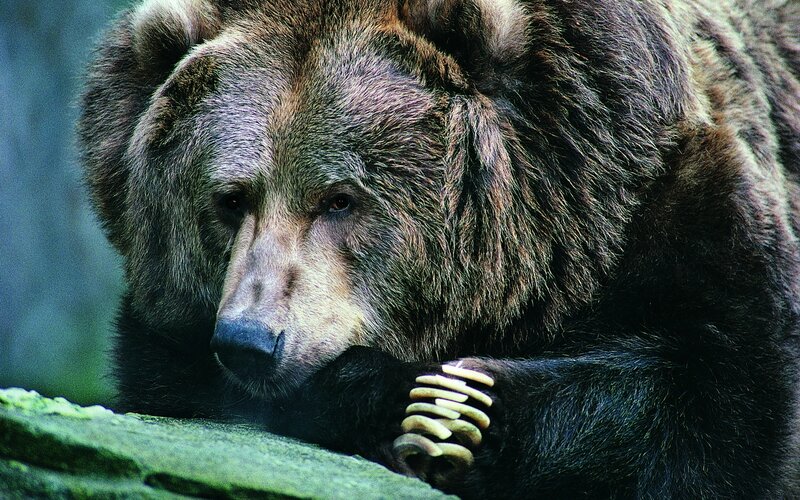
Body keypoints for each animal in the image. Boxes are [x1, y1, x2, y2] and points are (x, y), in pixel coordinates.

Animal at [79, 0, 800, 497]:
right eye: (231, 198)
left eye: (339, 198)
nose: (251, 339)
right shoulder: (167, 323)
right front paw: (413, 403)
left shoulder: (673, 194)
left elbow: (716, 401)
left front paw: (463, 409)